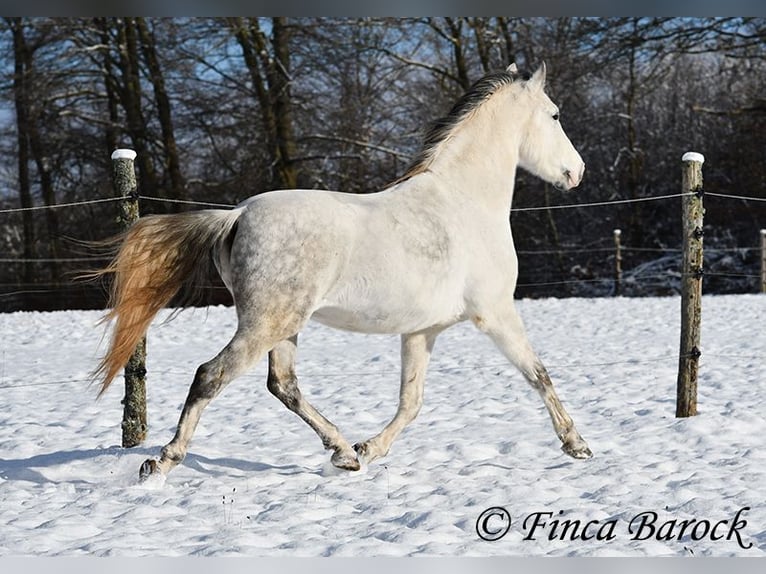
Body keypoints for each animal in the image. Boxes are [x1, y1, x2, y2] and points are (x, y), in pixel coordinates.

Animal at [94, 65, 592, 484]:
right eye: (555, 115)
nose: (577, 172)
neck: (463, 201)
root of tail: (237, 215)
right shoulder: (494, 312)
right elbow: (538, 374)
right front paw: (577, 445)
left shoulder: (422, 330)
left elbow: (411, 402)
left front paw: (369, 449)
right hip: (266, 322)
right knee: (210, 375)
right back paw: (161, 462)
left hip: (284, 326)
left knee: (283, 384)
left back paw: (344, 452)